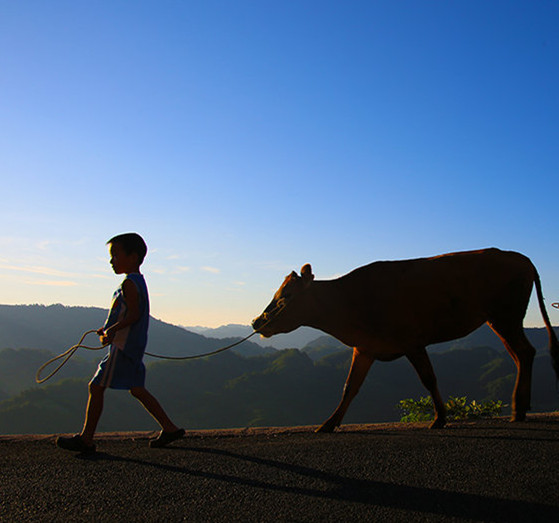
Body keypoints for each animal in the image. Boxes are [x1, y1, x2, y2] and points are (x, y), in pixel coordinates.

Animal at [253, 248, 559, 432]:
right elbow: (350, 387)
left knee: (525, 352)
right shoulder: (365, 348)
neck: (348, 303)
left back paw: (518, 408)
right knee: (521, 354)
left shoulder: (412, 341)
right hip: (499, 320)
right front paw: (329, 423)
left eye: (286, 296)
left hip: (506, 316)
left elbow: (429, 379)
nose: (257, 322)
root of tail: (521, 257)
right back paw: (520, 407)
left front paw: (440, 418)